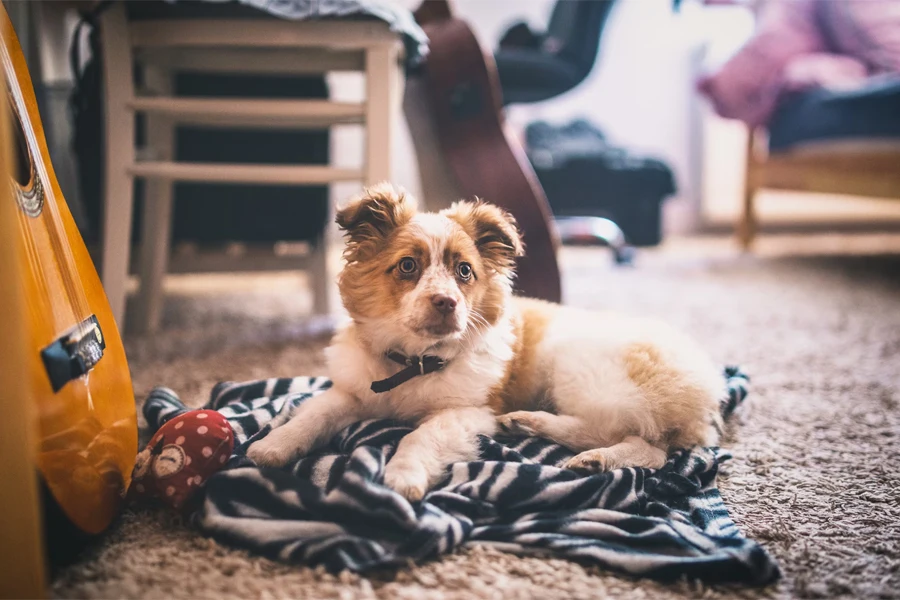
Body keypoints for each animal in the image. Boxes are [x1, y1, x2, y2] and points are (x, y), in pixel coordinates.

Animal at [248, 184, 724, 502]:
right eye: (407, 266)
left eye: (464, 271)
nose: (446, 303)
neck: (412, 362)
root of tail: (708, 384)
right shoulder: (352, 391)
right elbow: (315, 414)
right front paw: (273, 446)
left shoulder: (469, 411)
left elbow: (419, 436)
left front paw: (403, 476)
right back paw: (535, 428)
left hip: (580, 370)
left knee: (644, 445)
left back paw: (576, 448)